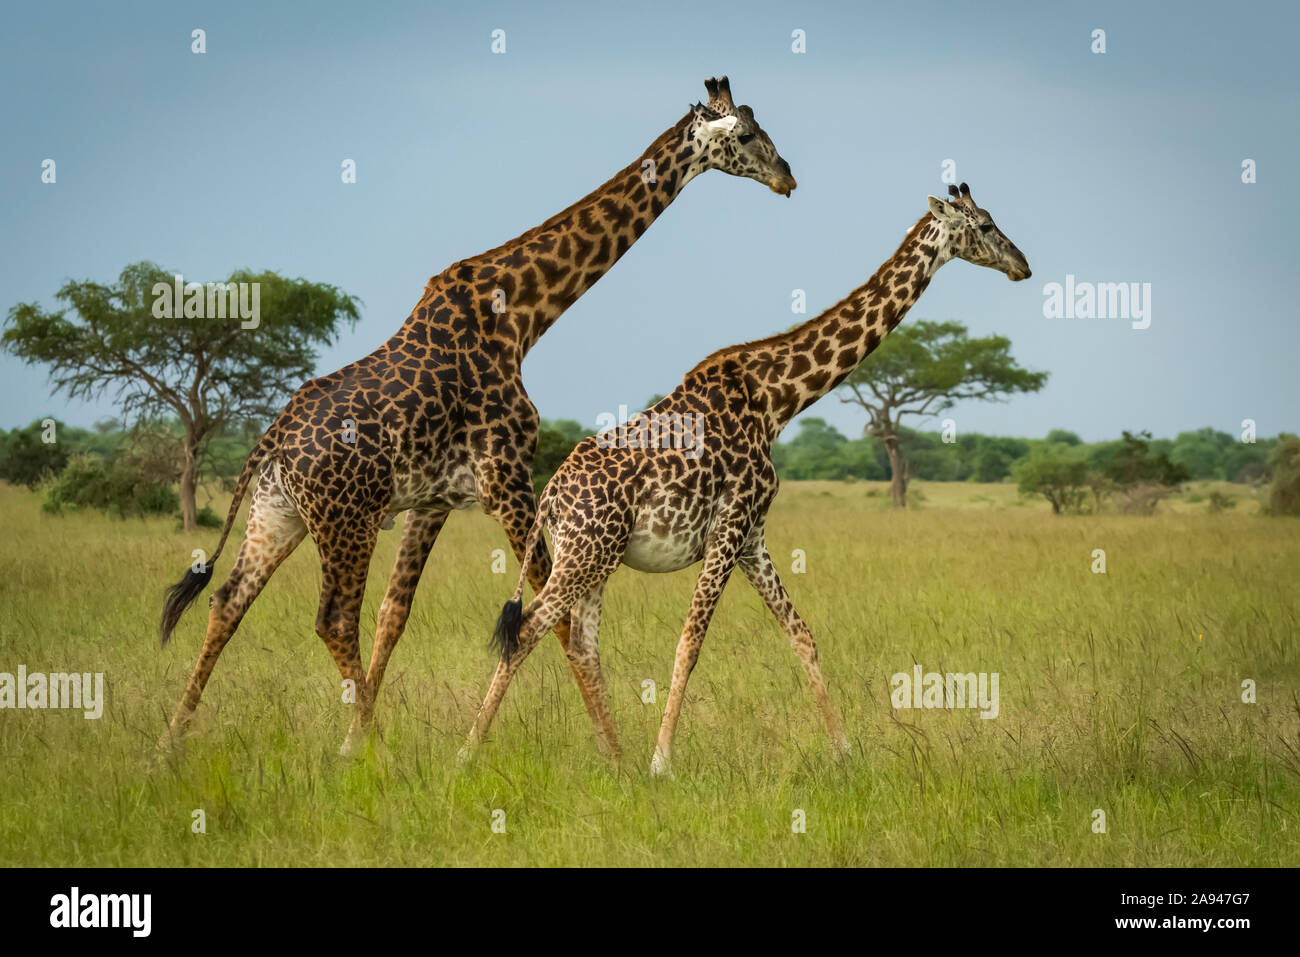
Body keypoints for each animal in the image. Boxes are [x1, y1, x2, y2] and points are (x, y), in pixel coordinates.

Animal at [156, 77, 797, 756]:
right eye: (747, 134)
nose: (787, 177)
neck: (519, 314)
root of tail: (272, 440)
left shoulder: (436, 500)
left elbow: (395, 615)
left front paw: (351, 745)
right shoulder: (508, 477)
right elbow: (556, 620)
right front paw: (617, 755)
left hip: (277, 513)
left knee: (227, 601)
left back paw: (171, 744)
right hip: (345, 520)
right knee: (332, 618)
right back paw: (376, 747)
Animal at [460, 182, 1032, 775]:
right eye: (985, 226)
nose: (1024, 266)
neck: (777, 400)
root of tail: (551, 497)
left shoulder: (753, 535)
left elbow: (801, 635)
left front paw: (845, 751)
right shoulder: (729, 526)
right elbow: (690, 643)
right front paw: (662, 764)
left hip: (597, 557)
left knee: (581, 643)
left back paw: (615, 761)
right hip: (585, 552)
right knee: (529, 629)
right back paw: (468, 752)